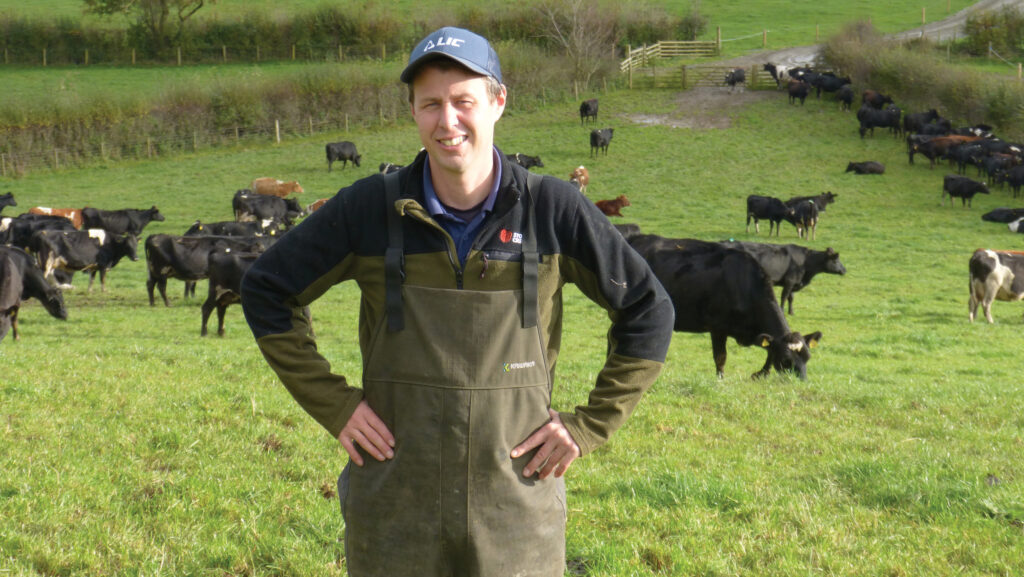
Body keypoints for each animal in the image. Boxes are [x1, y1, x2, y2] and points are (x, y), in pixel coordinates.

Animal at [622, 232, 823, 381]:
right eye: (787, 360)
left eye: (808, 357)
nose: (802, 382)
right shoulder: (718, 327)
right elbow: (721, 356)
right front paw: (720, 379)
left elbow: (769, 351)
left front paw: (761, 374)